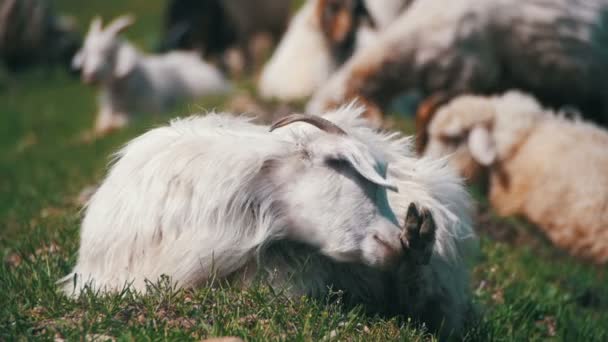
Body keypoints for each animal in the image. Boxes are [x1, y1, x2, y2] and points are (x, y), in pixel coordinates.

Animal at [72, 15, 233, 135]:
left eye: (108, 52)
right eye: (87, 52)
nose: (89, 76)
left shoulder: (145, 113)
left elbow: (120, 123)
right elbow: (99, 127)